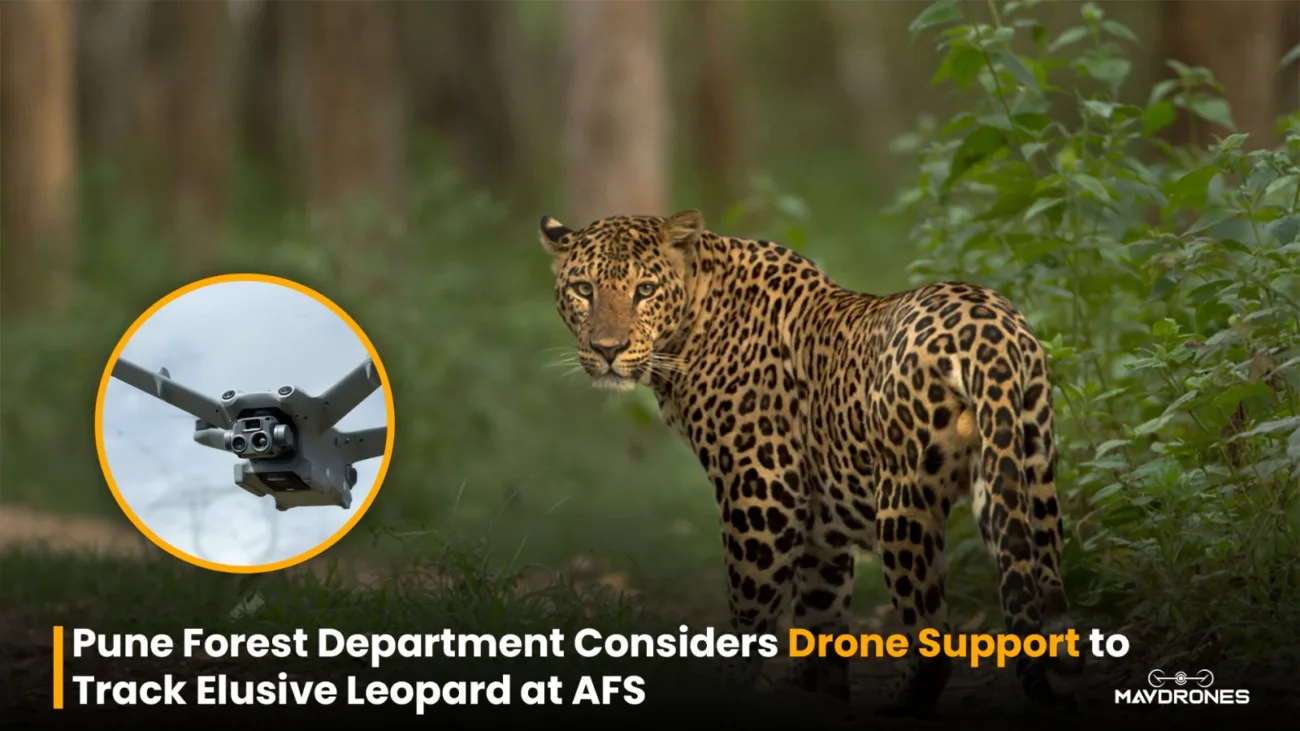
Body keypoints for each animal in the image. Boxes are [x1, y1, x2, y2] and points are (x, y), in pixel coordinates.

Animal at [535, 209, 1083, 716]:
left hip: (903, 502)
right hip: (1026, 474)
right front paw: (816, 692)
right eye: (583, 289)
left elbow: (750, 610)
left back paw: (898, 702)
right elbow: (821, 618)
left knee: (933, 636)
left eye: (645, 290)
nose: (608, 349)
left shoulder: (762, 492)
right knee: (1040, 588)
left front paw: (730, 688)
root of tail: (992, 330)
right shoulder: (823, 526)